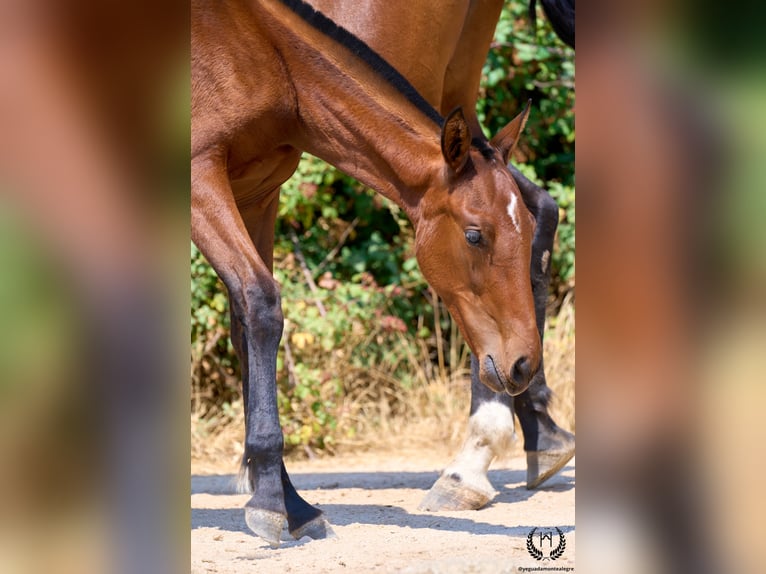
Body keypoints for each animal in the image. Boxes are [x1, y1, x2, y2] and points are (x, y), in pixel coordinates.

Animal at [192, 0, 543, 546]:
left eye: (526, 229)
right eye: (474, 235)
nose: (524, 363)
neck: (254, 47)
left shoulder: (257, 194)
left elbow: (247, 323)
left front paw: (290, 502)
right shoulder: (199, 174)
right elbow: (262, 306)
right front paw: (271, 500)